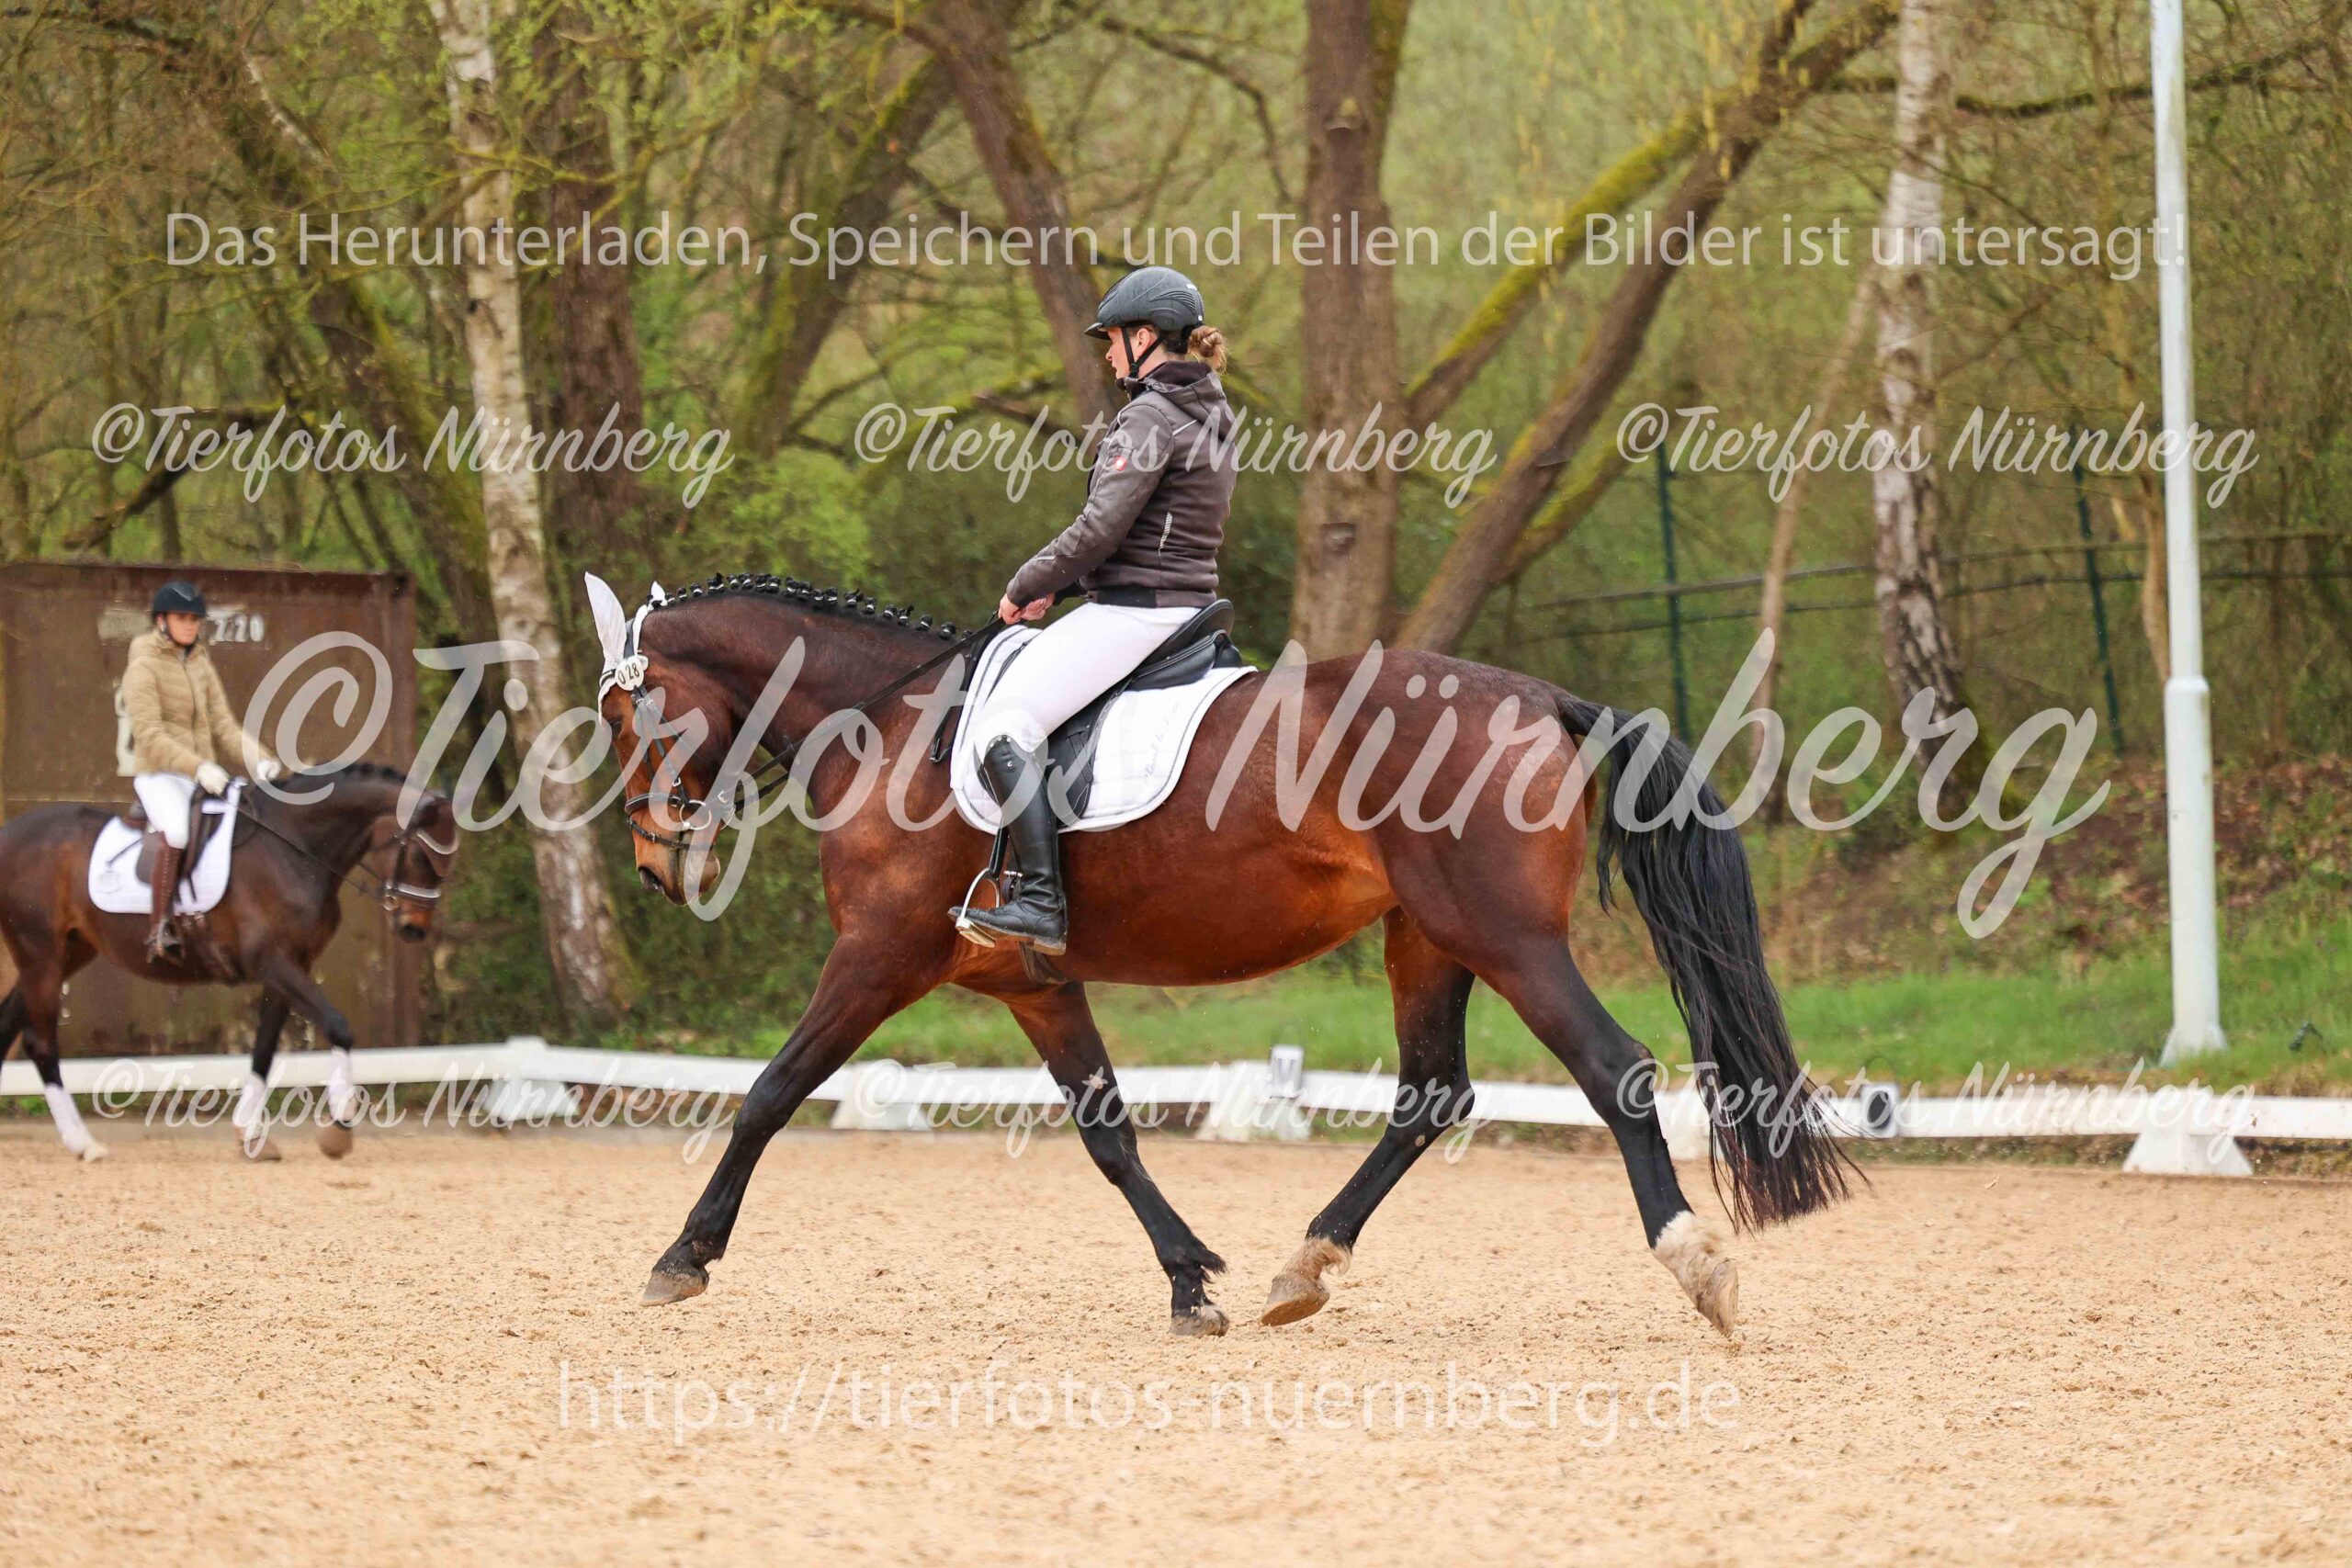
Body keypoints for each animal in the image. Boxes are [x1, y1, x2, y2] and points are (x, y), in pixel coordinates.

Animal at [0, 762, 458, 1162]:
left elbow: (264, 1049)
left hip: (68, 952)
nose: (414, 929)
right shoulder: (273, 963)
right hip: (41, 954)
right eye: (421, 856)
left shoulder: (293, 966)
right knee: (41, 1043)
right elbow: (338, 1027)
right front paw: (339, 1128)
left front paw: (250, 1135)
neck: (293, 848)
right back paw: (84, 1144)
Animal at [589, 571, 1850, 1339]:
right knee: (1429, 1093)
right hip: (1429, 937)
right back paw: (1304, 1268)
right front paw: (1191, 1279)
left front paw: (683, 1256)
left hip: (1506, 937)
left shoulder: (878, 957)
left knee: (1611, 1070)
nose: (655, 864)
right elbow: (1107, 1134)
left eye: (616, 716)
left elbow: (768, 1092)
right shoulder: (1026, 982)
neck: (889, 720)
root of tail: (1539, 696)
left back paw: (1697, 1265)